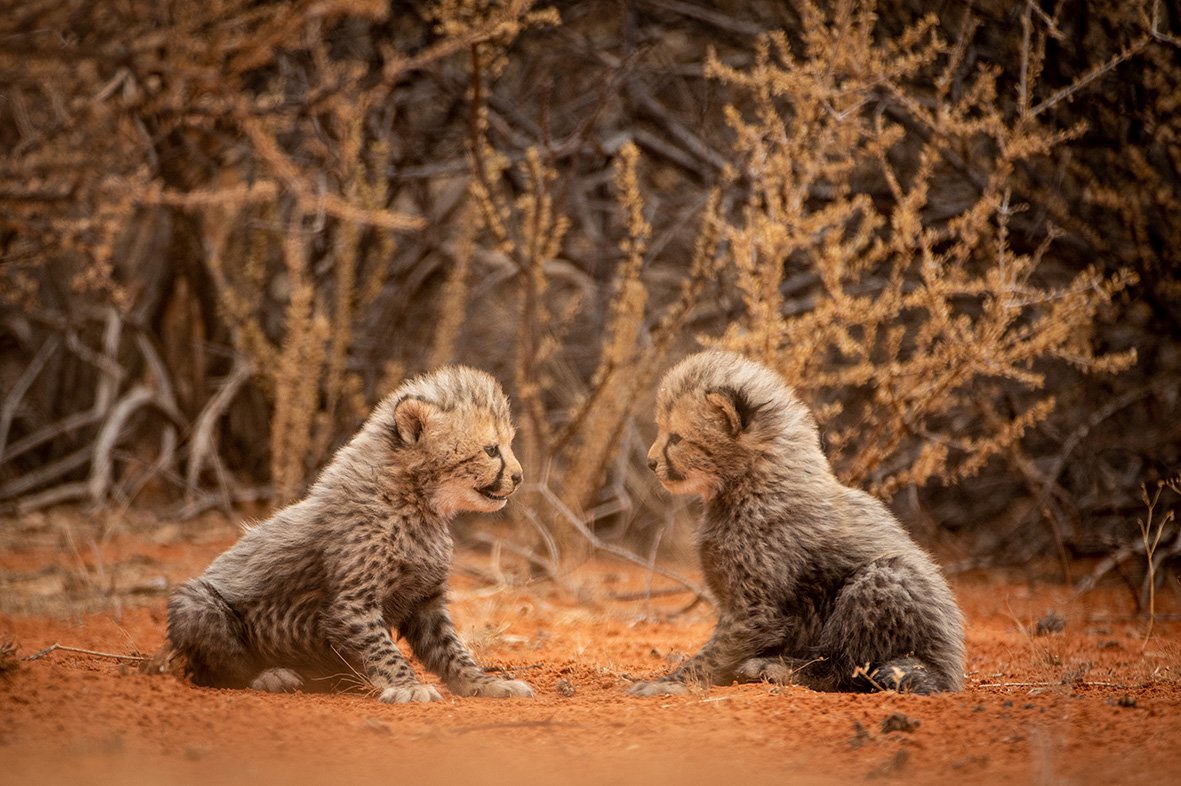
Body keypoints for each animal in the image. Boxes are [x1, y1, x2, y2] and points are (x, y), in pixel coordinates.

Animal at [167, 365, 534, 703]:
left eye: (508, 445)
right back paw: (270, 675)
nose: (519, 477)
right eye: (491, 450)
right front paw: (408, 686)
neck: (413, 502)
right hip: (197, 603)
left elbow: (452, 651)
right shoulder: (353, 604)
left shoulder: (426, 603)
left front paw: (485, 683)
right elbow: (384, 650)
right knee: (210, 670)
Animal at [631, 350, 964, 696]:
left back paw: (775, 668)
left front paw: (668, 684)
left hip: (885, 578)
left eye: (676, 438)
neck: (753, 481)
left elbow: (714, 654)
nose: (650, 462)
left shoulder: (756, 611)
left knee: (841, 666)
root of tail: (946, 668)